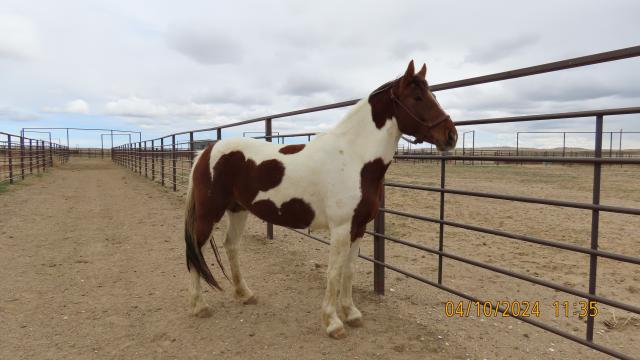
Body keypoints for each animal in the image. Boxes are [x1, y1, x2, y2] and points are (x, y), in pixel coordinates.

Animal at [182, 60, 458, 338]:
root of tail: (206, 151)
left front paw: (351, 313)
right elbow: (334, 273)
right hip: (209, 213)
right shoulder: (341, 228)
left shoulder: (359, 228)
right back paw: (198, 305)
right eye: (417, 97)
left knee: (231, 246)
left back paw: (245, 294)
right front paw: (333, 322)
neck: (354, 158)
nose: (451, 135)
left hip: (238, 210)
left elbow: (349, 271)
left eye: (433, 95)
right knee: (196, 248)